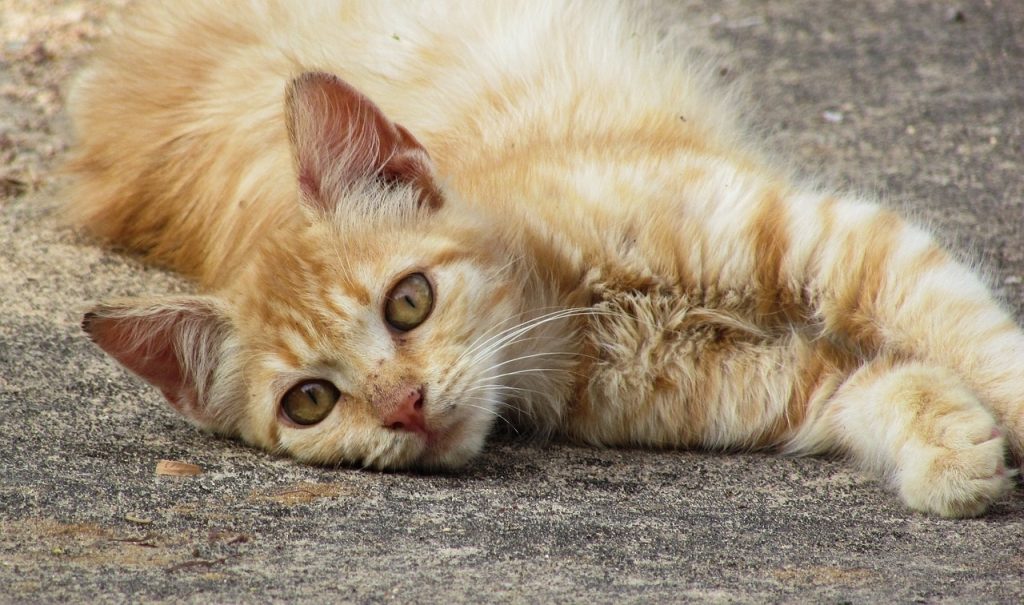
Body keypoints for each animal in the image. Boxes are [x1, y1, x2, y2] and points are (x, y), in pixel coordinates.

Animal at [68, 2, 1019, 517]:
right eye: (310, 401)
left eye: (408, 300)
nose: (405, 406)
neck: (580, 312)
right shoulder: (782, 385)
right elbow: (882, 384)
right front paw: (954, 449)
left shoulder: (836, 240)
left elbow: (976, 340)